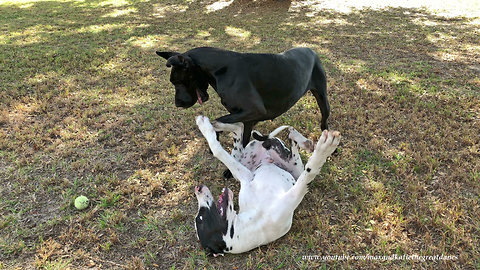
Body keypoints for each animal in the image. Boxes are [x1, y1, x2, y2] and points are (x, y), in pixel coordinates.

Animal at [158, 47, 330, 148]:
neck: (221, 70)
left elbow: (218, 121)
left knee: (324, 121)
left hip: (322, 99)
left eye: (177, 82)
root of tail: (310, 50)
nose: (177, 104)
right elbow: (243, 138)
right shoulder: (247, 118)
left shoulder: (255, 111)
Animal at [193, 116, 340, 255]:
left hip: (241, 160)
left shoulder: (245, 176)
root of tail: (265, 146)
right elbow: (310, 172)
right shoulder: (293, 195)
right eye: (199, 218)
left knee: (240, 130)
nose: (197, 188)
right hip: (295, 168)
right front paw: (324, 149)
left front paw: (205, 127)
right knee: (292, 145)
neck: (255, 217)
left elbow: (218, 150)